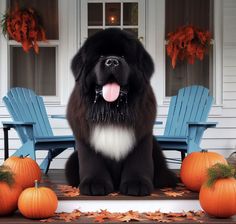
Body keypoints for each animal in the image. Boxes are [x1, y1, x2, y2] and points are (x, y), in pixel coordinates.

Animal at [65, 28, 177, 196]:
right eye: (100, 56)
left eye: (124, 56)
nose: (112, 61)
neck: (112, 111)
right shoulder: (86, 139)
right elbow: (92, 162)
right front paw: (94, 184)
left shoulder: (141, 137)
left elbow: (138, 161)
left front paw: (136, 184)